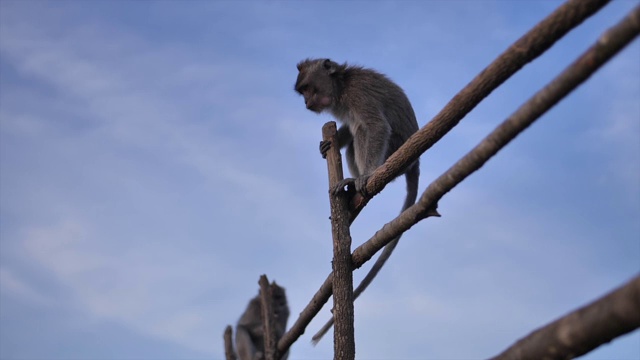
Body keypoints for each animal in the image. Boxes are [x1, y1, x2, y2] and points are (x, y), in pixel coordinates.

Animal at [296, 58, 428, 344]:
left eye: (308, 89)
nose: (307, 103)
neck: (341, 85)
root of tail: (414, 163)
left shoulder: (358, 95)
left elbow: (376, 126)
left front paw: (366, 175)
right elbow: (347, 127)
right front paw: (327, 145)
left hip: (392, 151)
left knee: (364, 131)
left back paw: (357, 182)